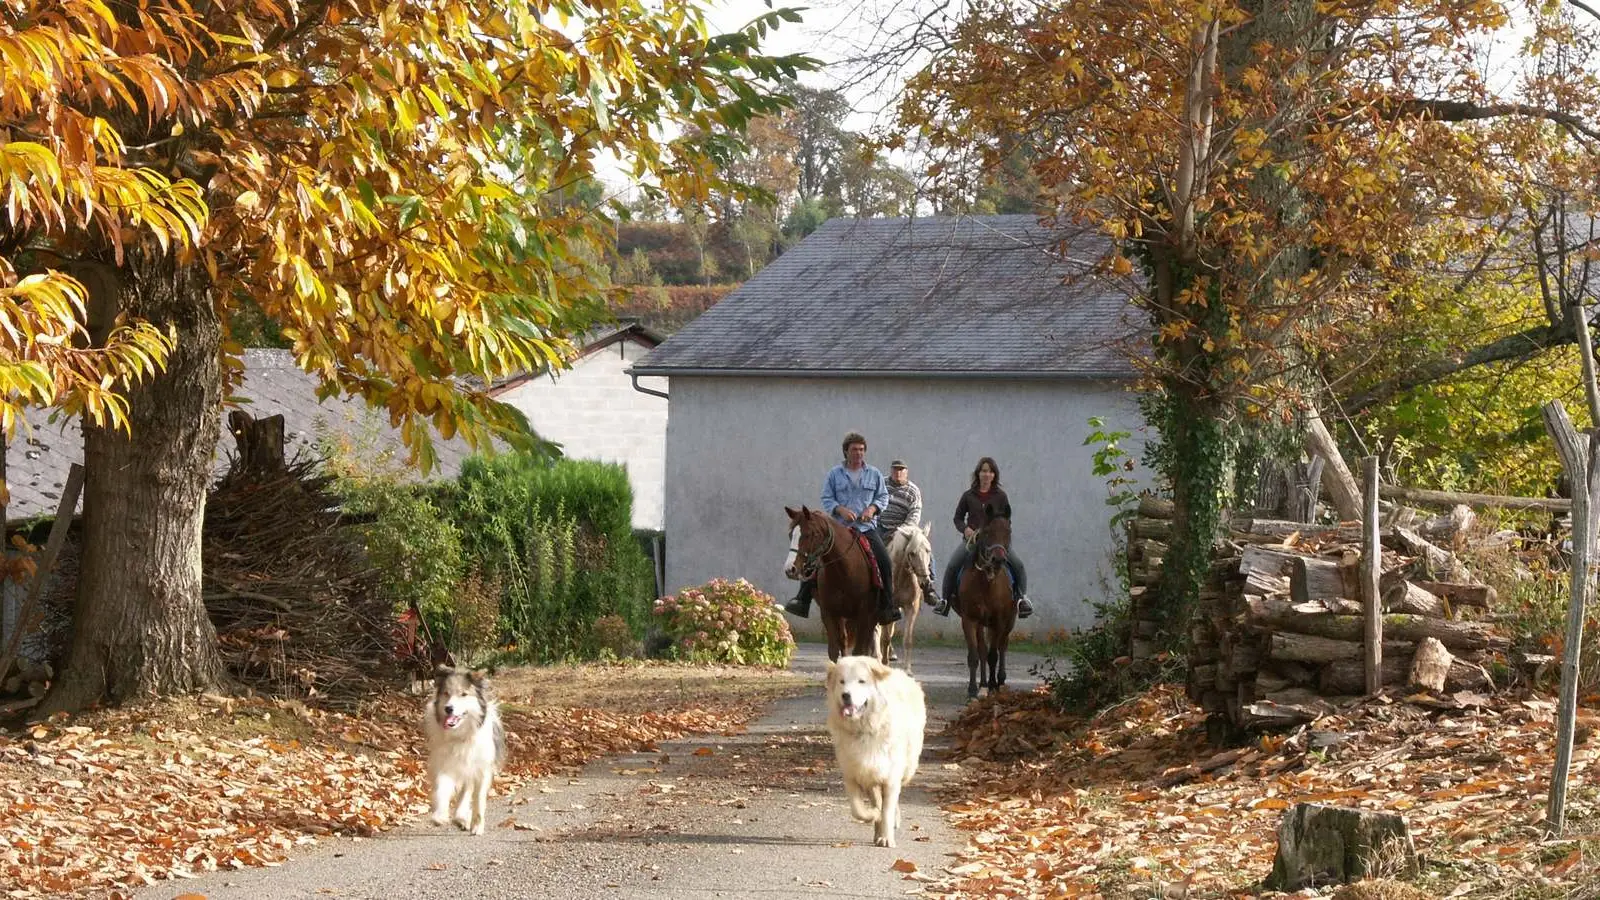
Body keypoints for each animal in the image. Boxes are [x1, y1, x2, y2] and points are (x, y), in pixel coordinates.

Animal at [422, 662, 502, 832]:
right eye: (446, 693)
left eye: (464, 694)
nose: (448, 708)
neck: (460, 734)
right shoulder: (444, 763)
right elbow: (442, 789)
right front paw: (439, 816)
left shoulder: (481, 768)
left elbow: (478, 798)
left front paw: (477, 825)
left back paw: (462, 818)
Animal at [784, 506, 883, 659]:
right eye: (790, 534)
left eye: (810, 534)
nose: (790, 569)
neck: (844, 571)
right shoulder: (829, 613)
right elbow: (834, 651)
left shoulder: (864, 615)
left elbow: (859, 651)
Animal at [825, 656, 928, 845]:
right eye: (842, 681)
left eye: (861, 681)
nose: (845, 695)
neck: (865, 729)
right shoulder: (854, 774)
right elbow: (858, 809)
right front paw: (873, 815)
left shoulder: (891, 777)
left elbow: (887, 809)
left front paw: (886, 837)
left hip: (907, 768)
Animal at [883, 522, 934, 669]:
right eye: (912, 553)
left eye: (928, 550)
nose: (925, 582)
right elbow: (885, 638)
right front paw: (884, 663)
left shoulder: (911, 607)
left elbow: (907, 639)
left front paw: (907, 669)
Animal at [953, 509, 1017, 698]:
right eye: (987, 532)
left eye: (1008, 532)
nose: (998, 559)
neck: (987, 582)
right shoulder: (970, 620)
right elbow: (975, 655)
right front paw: (973, 690)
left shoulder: (999, 621)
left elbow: (993, 655)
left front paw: (993, 686)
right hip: (982, 623)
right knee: (982, 650)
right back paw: (983, 685)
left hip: (1009, 620)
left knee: (1002, 646)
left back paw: (1000, 681)